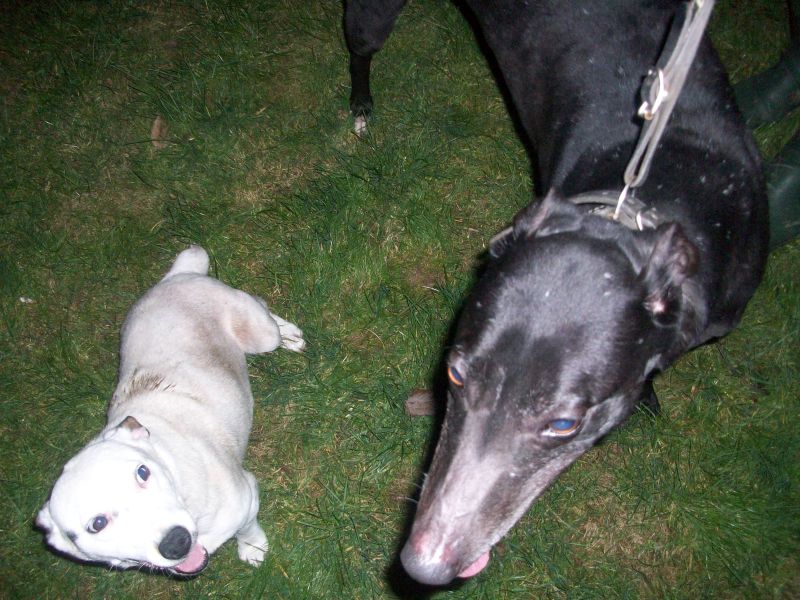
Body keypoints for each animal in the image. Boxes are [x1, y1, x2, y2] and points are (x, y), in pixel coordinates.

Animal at [36, 246, 305, 575]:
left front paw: (252, 548)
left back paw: (289, 334)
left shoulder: (247, 501)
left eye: (143, 472)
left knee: (264, 308)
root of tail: (176, 277)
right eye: (97, 524)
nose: (176, 541)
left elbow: (247, 529)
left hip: (261, 334)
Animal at [345, 0, 769, 586]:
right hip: (371, 20)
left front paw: (649, 393)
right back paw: (361, 105)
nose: (422, 568)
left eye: (564, 423)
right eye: (455, 374)